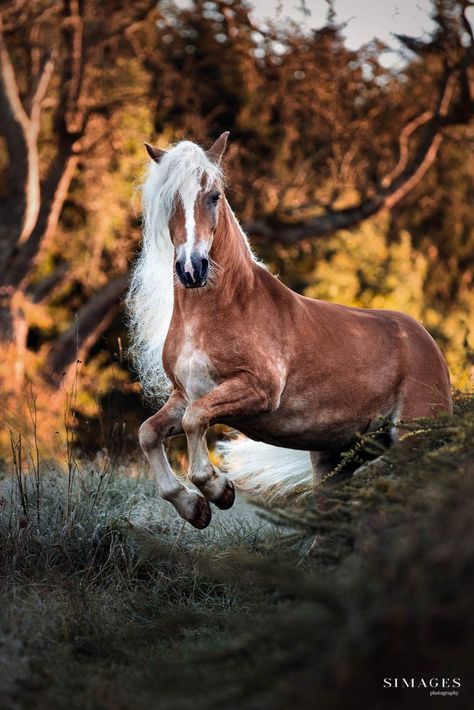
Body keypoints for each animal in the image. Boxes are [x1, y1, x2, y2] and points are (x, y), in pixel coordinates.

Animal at [128, 134, 454, 532]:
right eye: (169, 199)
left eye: (214, 195)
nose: (192, 269)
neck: (224, 309)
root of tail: (426, 341)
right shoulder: (185, 395)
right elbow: (149, 432)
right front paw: (195, 509)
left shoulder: (257, 390)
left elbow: (196, 420)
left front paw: (220, 491)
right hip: (336, 459)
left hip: (412, 441)